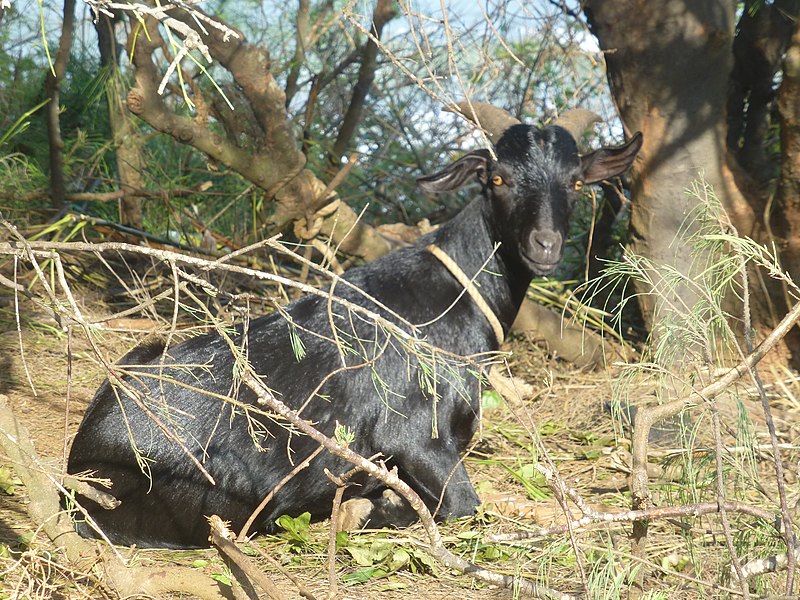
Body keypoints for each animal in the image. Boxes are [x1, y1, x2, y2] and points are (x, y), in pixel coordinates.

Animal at [69, 104, 644, 548]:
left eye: (576, 182)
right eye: (498, 178)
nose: (544, 245)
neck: (457, 295)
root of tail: (82, 459)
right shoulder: (415, 435)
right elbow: (463, 504)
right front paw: (366, 508)